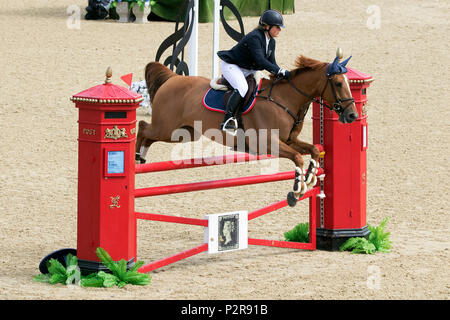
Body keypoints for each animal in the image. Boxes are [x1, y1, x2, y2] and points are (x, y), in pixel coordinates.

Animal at [135, 53, 356, 206]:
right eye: (338, 83)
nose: (352, 115)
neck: (286, 98)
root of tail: (173, 78)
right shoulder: (268, 143)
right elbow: (297, 157)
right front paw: (296, 190)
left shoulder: (290, 140)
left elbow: (314, 150)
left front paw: (308, 178)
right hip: (167, 129)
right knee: (144, 127)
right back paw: (137, 157)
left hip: (185, 133)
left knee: (148, 135)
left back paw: (142, 157)